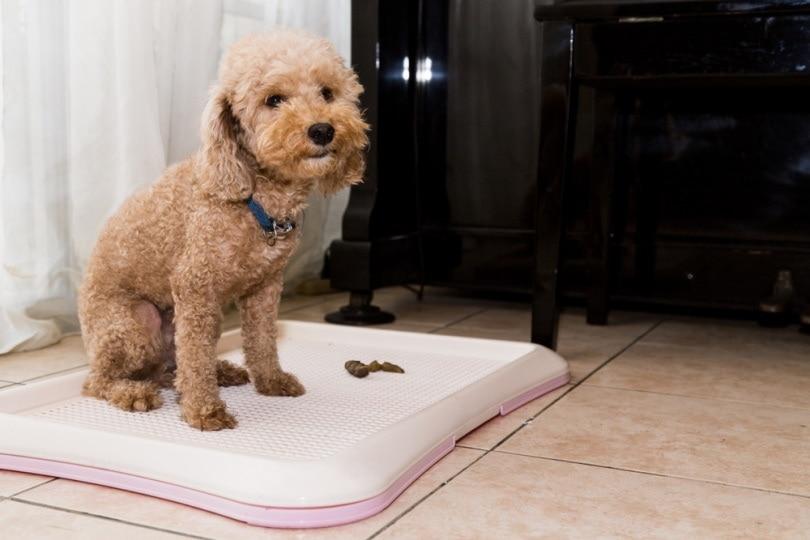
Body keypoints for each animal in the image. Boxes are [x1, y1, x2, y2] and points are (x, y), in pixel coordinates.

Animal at [77, 32, 368, 430]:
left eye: (327, 92)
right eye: (273, 99)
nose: (322, 130)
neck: (255, 198)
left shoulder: (265, 289)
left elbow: (262, 341)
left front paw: (271, 381)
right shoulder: (195, 287)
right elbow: (195, 360)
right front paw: (204, 410)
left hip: (185, 323)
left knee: (171, 365)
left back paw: (219, 373)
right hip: (137, 322)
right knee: (99, 381)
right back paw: (132, 393)